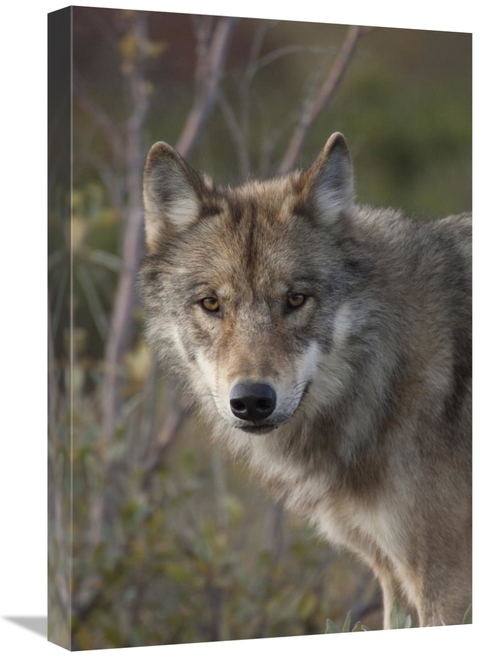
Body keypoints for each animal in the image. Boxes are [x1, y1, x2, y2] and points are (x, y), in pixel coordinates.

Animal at [139, 132, 472, 630]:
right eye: (211, 303)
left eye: (295, 299)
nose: (252, 400)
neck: (389, 375)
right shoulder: (391, 573)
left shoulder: (447, 582)